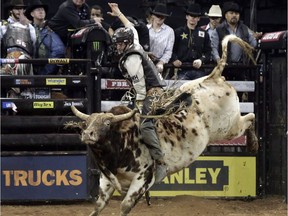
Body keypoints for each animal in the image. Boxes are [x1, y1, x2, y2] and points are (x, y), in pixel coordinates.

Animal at [66, 34, 258, 215]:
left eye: (107, 123)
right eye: (86, 123)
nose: (87, 134)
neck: (123, 140)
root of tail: (213, 77)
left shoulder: (143, 178)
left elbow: (125, 206)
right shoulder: (107, 179)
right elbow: (98, 206)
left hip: (227, 127)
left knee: (250, 117)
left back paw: (253, 144)